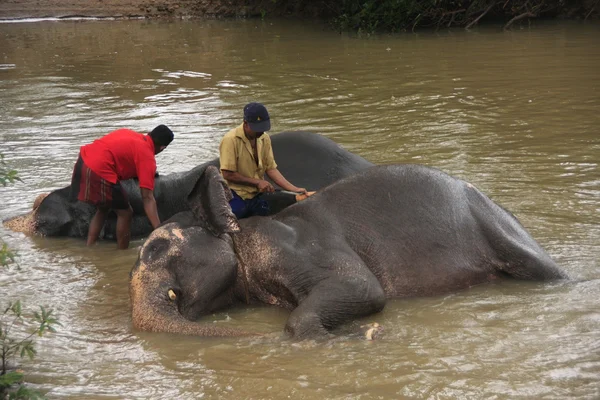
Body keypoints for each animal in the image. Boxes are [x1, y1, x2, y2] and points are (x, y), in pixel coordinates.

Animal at [130, 164, 568, 340]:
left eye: (156, 248)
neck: (242, 233)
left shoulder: (295, 249)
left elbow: (363, 289)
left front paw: (347, 337)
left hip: (500, 231)